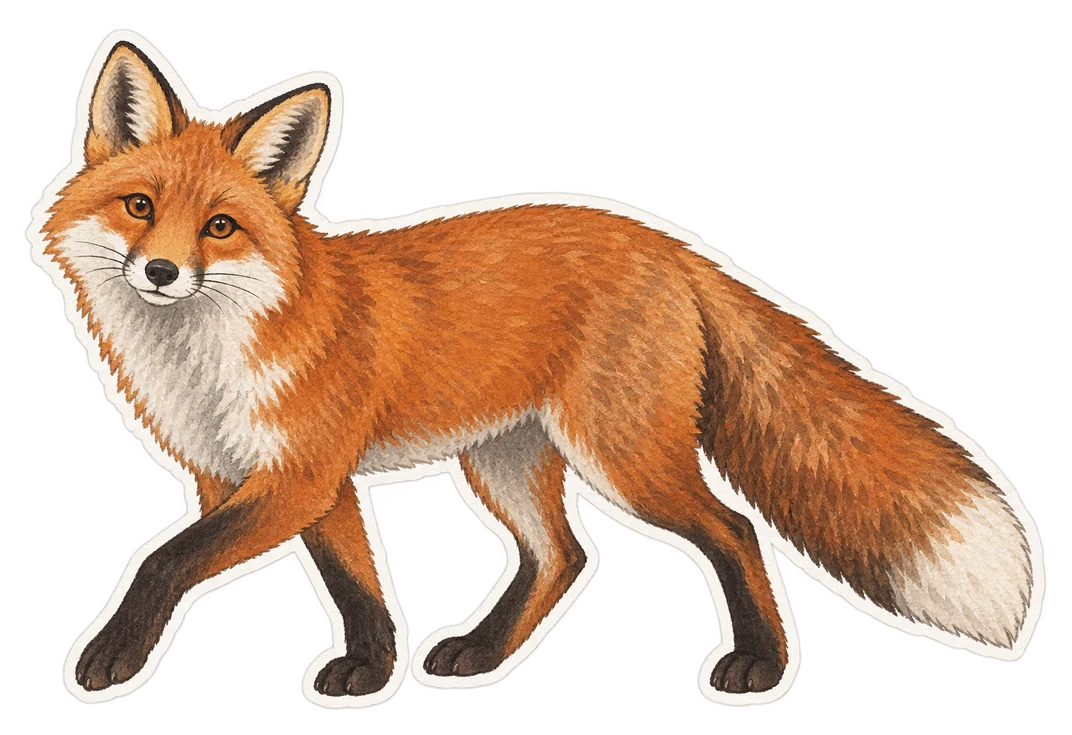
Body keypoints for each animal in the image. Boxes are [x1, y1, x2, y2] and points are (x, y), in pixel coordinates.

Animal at [29, 34, 1043, 708]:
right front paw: (372, 670)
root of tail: (669, 244)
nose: (162, 272)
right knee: (564, 556)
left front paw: (109, 658)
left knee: (733, 529)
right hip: (505, 459)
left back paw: (758, 665)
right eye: (139, 207)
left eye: (220, 227)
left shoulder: (300, 470)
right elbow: (355, 583)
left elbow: (163, 559)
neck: (210, 353)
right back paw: (480, 655)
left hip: (622, 457)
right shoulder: (261, 478)